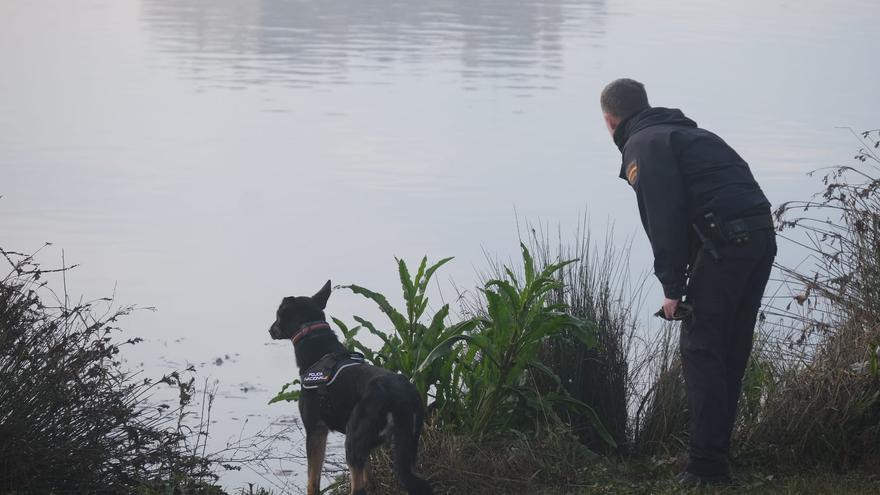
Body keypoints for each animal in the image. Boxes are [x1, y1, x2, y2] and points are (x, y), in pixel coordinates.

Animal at [268, 280, 434, 495]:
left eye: (278, 315)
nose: (270, 330)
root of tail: (402, 397)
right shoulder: (365, 449)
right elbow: (370, 478)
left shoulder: (315, 431)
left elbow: (313, 482)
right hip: (406, 447)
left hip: (353, 443)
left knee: (358, 489)